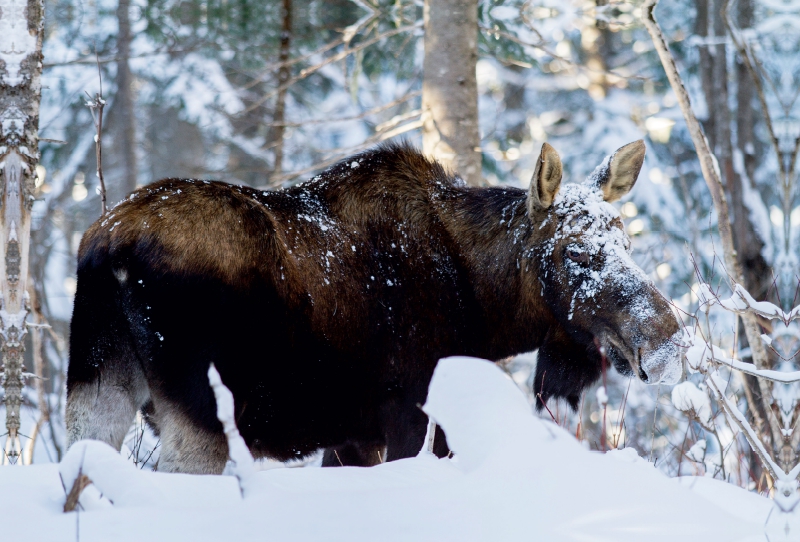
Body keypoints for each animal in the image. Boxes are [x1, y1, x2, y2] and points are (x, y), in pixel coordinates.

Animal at [67, 141, 680, 476]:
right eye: (575, 250)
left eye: (627, 240)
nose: (668, 338)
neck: (486, 308)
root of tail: (108, 248)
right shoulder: (413, 414)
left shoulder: (354, 435)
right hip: (201, 409)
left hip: (96, 380)